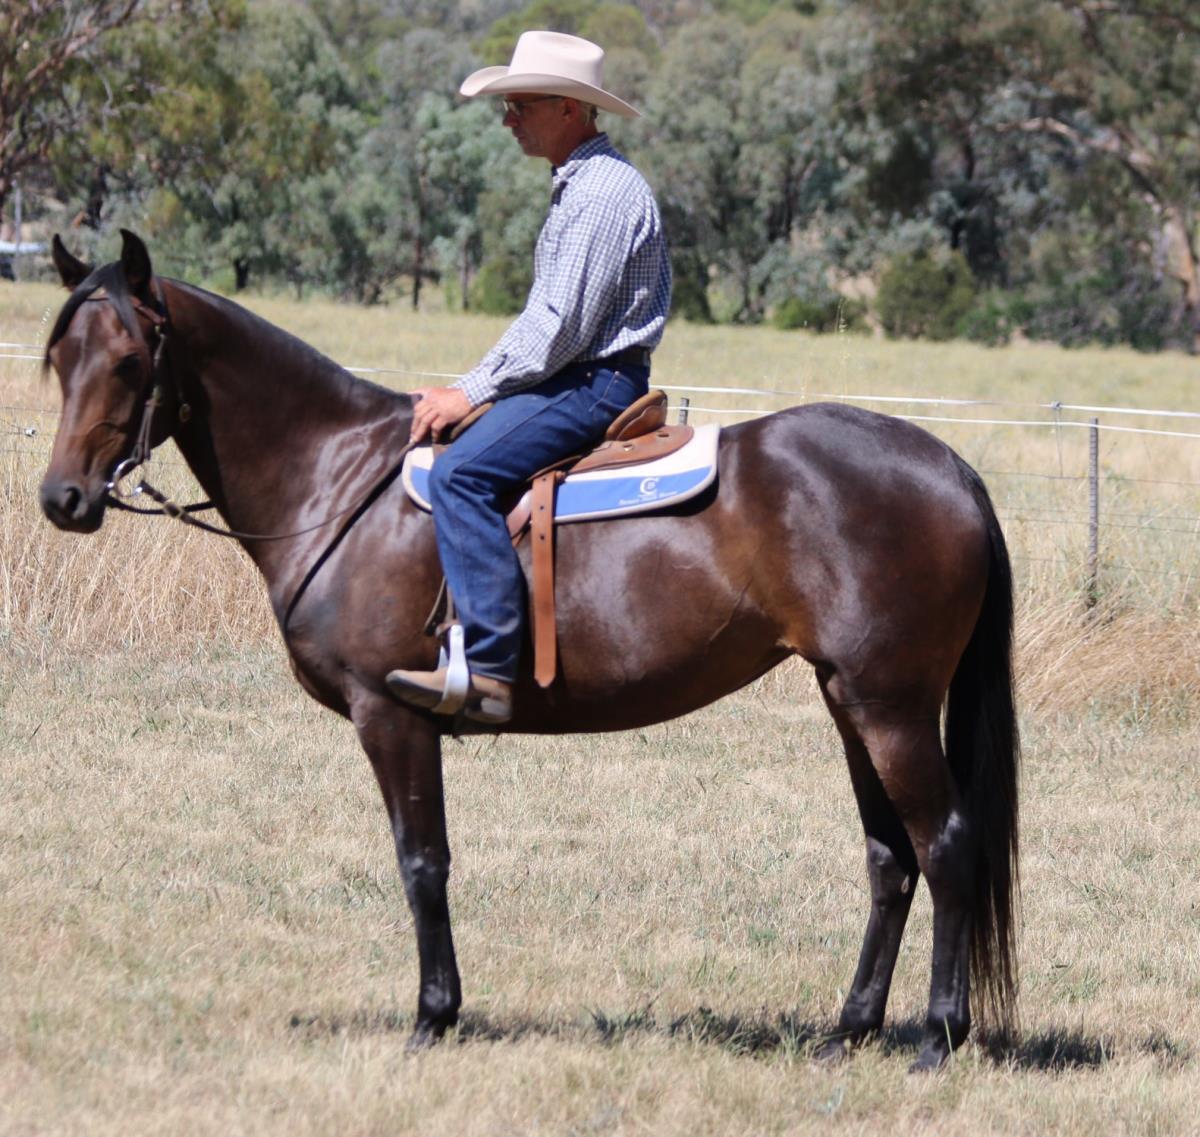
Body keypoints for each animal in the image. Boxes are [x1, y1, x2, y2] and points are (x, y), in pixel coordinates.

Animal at [39, 230, 1018, 1070]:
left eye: (129, 362)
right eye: (58, 361)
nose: (63, 499)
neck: (337, 476)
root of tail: (953, 469)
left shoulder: (390, 713)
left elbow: (422, 861)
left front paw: (433, 1017)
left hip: (890, 707)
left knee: (945, 845)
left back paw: (938, 1037)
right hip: (850, 701)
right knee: (890, 859)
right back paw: (849, 1031)